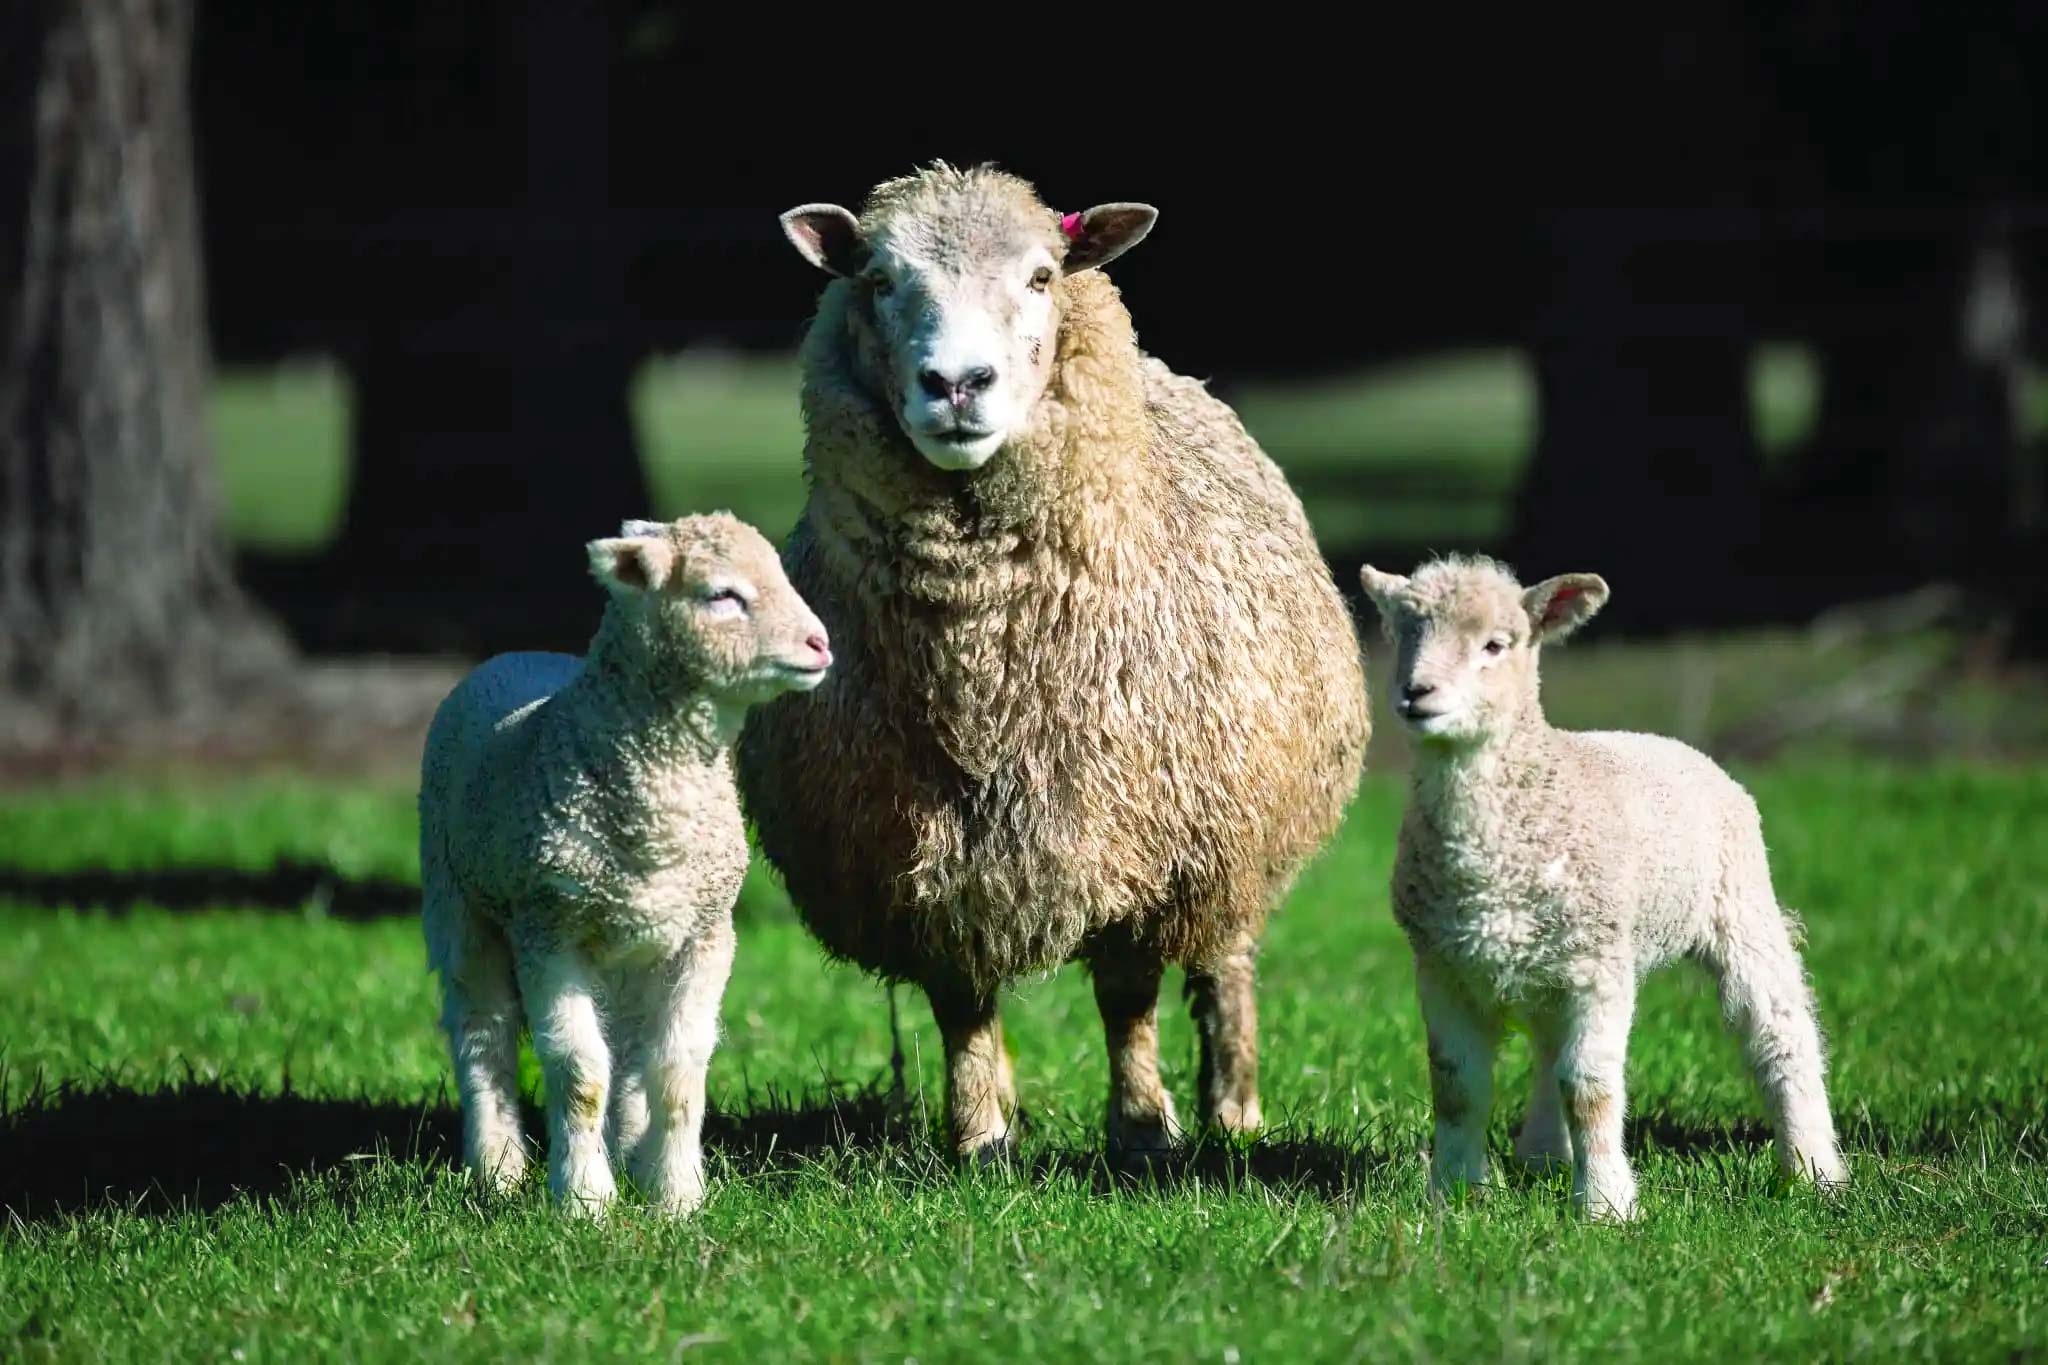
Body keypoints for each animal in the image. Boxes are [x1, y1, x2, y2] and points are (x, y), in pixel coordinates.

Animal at [415, 511, 831, 1219]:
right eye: (722, 595)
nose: (820, 644)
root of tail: (518, 654)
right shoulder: (548, 930)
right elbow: (580, 1073)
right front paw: (584, 1200)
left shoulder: (707, 933)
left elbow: (679, 1070)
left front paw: (677, 1196)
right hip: (460, 907)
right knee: (483, 1034)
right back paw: (498, 1169)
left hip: (632, 946)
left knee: (633, 1051)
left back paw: (633, 1155)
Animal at [733, 165, 1359, 1162]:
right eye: (877, 278)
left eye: (1039, 277)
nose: (957, 382)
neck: (984, 668)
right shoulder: (922, 858)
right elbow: (961, 1004)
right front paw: (979, 1137)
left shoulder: (1146, 844)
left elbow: (1128, 998)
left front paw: (1142, 1130)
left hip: (1236, 826)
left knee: (1225, 960)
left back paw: (1232, 1106)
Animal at [1359, 556, 1843, 1227]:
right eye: (1404, 634)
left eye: (1496, 644)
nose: (1417, 692)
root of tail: (1665, 739)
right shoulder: (1442, 966)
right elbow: (1456, 1087)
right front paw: (1454, 1196)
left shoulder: (1598, 967)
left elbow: (1590, 1089)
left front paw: (1606, 1207)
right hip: (1543, 961)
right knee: (1547, 1051)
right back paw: (1543, 1155)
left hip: (1740, 904)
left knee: (1781, 1030)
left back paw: (1813, 1169)